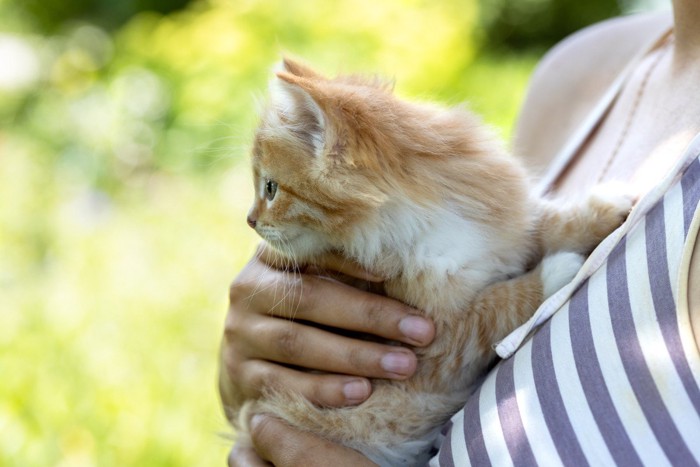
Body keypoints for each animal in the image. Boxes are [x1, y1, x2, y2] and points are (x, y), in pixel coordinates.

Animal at [232, 59, 632, 467]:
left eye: (270, 188)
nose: (250, 220)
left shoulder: (504, 228)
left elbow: (548, 226)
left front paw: (607, 208)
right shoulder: (430, 350)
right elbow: (492, 309)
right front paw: (558, 268)